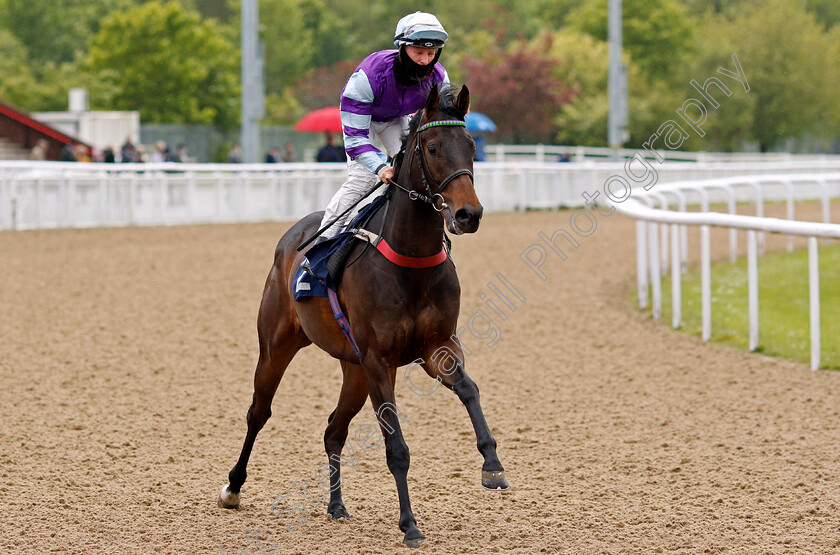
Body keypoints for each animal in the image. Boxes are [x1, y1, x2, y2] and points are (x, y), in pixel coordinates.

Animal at [217, 82, 508, 548]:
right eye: (432, 147)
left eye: (472, 146)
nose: (469, 214)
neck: (411, 260)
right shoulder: (378, 360)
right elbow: (396, 447)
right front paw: (409, 524)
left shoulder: (436, 347)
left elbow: (469, 389)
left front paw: (492, 465)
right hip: (278, 346)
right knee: (258, 412)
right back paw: (233, 487)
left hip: (352, 369)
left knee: (333, 429)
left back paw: (336, 505)